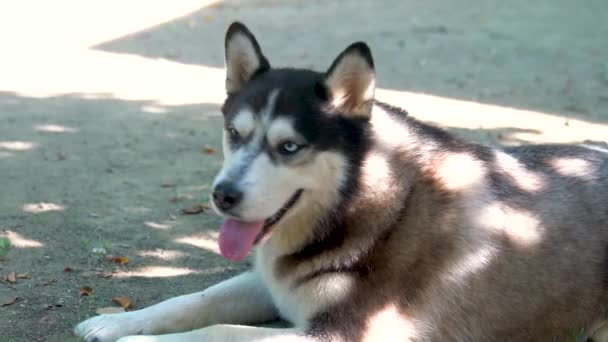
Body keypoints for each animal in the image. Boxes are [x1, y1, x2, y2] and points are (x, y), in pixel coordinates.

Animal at [75, 22, 608, 340]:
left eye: (290, 147)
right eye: (234, 134)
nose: (222, 196)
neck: (369, 206)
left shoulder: (345, 333)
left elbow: (219, 332)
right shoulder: (271, 283)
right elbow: (195, 299)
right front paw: (119, 321)